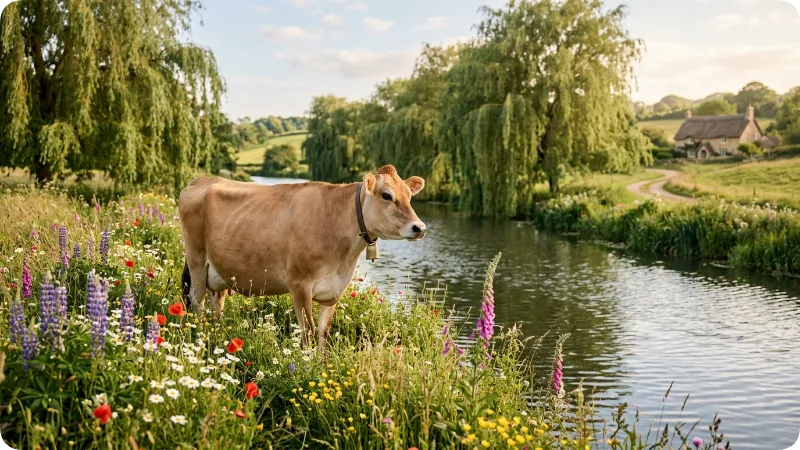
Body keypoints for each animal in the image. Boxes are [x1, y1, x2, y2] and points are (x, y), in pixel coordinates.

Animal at [177, 165, 426, 350]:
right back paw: (198, 337)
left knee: (215, 302)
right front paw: (306, 365)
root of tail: (199, 180)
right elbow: (308, 331)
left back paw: (216, 332)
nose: (420, 227)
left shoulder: (334, 290)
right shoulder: (299, 284)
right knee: (196, 302)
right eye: (387, 195)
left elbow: (324, 332)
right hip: (196, 259)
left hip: (217, 270)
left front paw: (321, 365)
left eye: (409, 196)